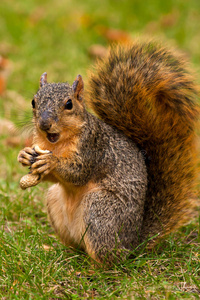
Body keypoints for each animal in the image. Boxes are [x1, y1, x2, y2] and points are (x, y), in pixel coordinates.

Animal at [18, 40, 199, 262]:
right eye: (34, 102)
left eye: (69, 104)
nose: (44, 124)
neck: (57, 143)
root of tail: (133, 244)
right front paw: (24, 155)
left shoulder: (93, 147)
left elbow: (79, 173)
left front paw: (52, 162)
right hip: (55, 201)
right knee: (79, 246)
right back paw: (63, 253)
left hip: (100, 211)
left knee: (108, 258)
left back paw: (93, 267)